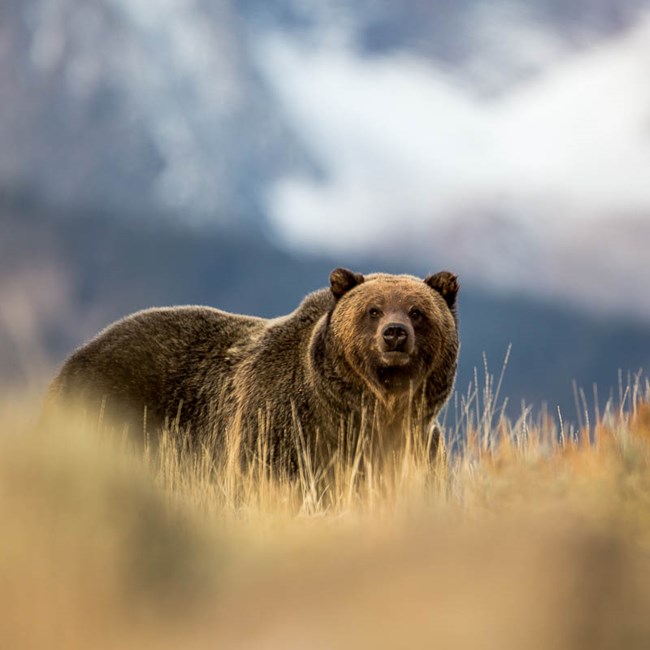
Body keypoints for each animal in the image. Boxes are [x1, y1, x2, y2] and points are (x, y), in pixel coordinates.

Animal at [47, 268, 459, 473]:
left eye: (417, 311)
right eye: (373, 309)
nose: (395, 334)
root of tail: (73, 358)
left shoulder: (419, 444)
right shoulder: (282, 426)